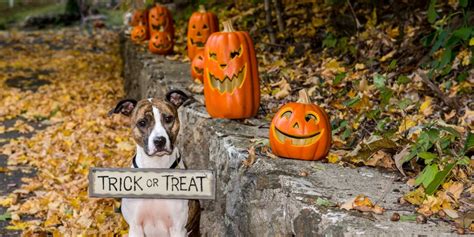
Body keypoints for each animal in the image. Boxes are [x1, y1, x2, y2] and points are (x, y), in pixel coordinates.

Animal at [109, 90, 200, 237]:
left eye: (168, 118)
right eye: (142, 122)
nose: (159, 141)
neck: (156, 167)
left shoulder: (178, 228)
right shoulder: (135, 227)